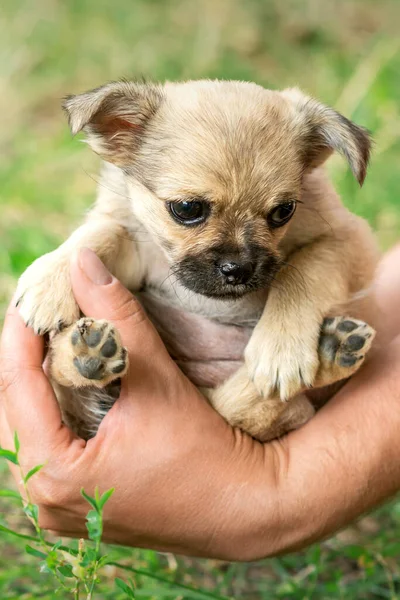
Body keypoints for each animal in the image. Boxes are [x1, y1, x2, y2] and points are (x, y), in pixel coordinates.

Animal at [15, 79, 380, 440]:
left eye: (283, 211)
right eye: (188, 209)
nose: (238, 269)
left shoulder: (347, 240)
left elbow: (302, 270)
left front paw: (280, 347)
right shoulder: (136, 245)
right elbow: (101, 232)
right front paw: (50, 280)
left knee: (251, 410)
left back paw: (332, 350)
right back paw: (88, 354)